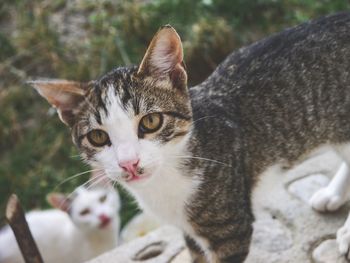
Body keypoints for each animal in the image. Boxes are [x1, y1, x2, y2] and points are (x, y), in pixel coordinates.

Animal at [30, 11, 350, 262]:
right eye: (98, 137)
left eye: (151, 122)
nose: (129, 163)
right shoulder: (190, 233)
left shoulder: (230, 229)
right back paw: (333, 195)